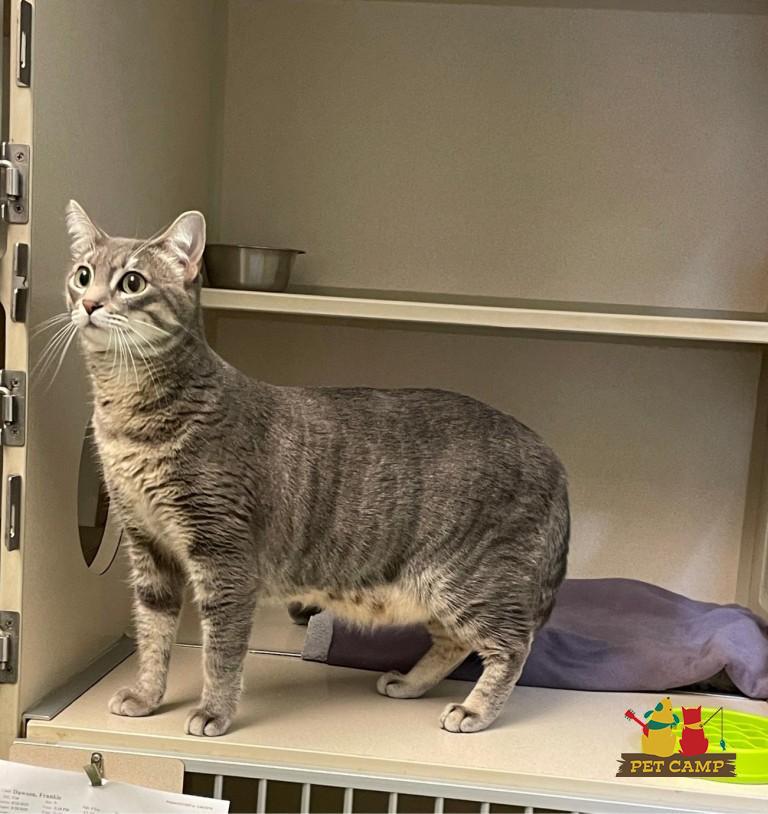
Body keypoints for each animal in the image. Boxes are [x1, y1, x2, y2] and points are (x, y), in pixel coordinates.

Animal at [64, 201, 570, 737]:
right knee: (454, 641)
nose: (89, 304)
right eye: (83, 275)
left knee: (511, 644)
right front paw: (146, 696)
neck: (128, 414)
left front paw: (214, 711)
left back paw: (474, 709)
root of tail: (551, 453)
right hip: (438, 592)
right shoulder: (149, 548)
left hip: (468, 579)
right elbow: (153, 634)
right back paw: (410, 683)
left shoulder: (223, 557)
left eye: (132, 282)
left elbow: (220, 652)